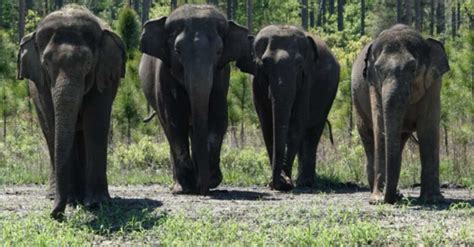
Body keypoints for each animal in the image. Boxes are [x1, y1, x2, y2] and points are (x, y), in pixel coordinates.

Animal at [16, 4, 126, 219]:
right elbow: (53, 121)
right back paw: (59, 196)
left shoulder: (103, 75)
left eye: (88, 64)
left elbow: (95, 123)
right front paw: (72, 202)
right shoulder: (41, 84)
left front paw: (97, 203)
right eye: (46, 64)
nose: (55, 215)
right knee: (50, 134)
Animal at [139, 4, 254, 195]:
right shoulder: (163, 76)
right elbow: (174, 122)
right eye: (177, 51)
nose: (203, 190)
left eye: (219, 51)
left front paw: (211, 180)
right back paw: (178, 186)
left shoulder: (222, 75)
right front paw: (187, 186)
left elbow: (218, 117)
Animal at [246, 25, 338, 191]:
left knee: (312, 133)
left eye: (299, 65)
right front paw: (278, 182)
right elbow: (267, 126)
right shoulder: (256, 83)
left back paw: (305, 182)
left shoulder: (306, 80)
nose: (277, 183)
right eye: (265, 63)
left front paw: (285, 183)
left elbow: (296, 123)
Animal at [352, 24, 452, 204]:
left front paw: (433, 199)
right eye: (378, 69)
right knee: (368, 137)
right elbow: (380, 128)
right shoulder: (373, 85)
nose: (388, 199)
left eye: (413, 68)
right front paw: (377, 200)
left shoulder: (434, 84)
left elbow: (428, 129)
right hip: (357, 102)